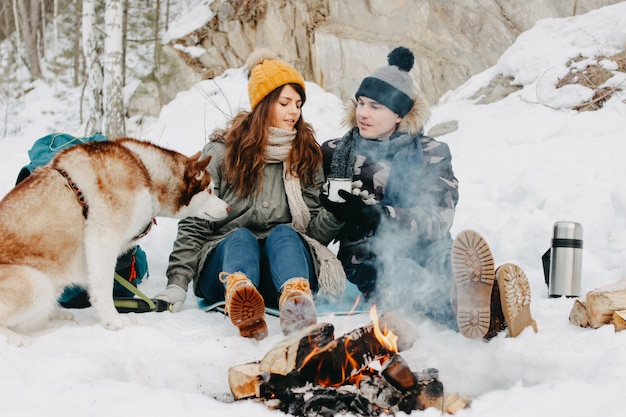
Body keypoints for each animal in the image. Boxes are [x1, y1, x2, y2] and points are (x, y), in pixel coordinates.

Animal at [0, 137, 229, 344]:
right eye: (210, 190)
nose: (228, 208)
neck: (145, 172)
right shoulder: (103, 240)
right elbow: (103, 289)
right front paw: (113, 321)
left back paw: (57, 316)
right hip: (37, 285)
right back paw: (17, 338)